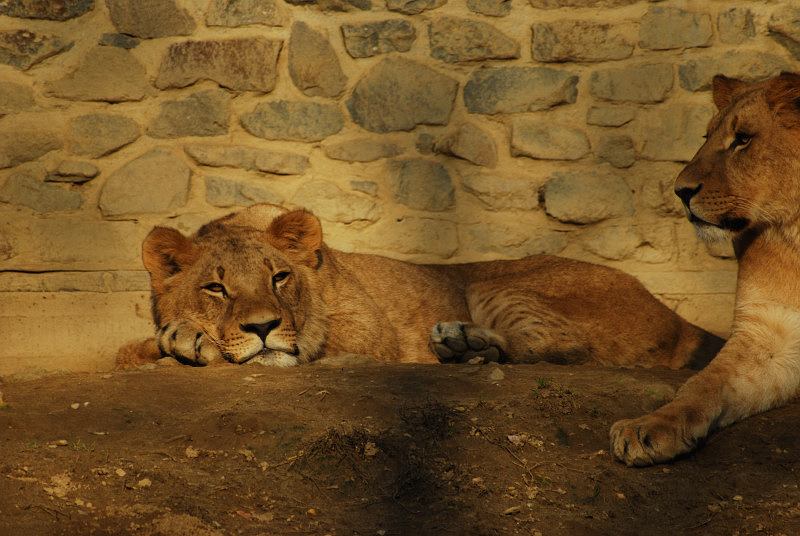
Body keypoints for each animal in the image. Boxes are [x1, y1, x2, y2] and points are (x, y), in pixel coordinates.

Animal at [117, 202, 723, 372]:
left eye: (279, 277)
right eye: (215, 289)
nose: (263, 327)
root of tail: (678, 318)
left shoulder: (372, 330)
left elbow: (317, 343)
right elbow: (127, 351)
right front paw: (179, 339)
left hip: (492, 284)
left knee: (567, 346)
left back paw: (463, 343)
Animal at [611, 72, 800, 466]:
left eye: (742, 139)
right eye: (706, 136)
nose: (680, 191)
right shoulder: (767, 334)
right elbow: (702, 384)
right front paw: (649, 427)